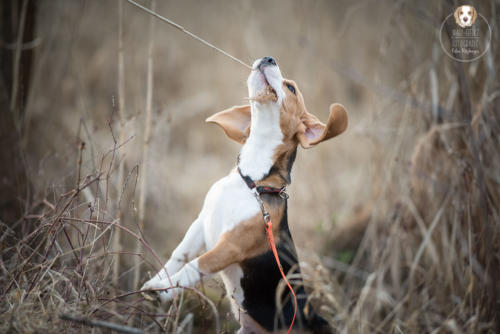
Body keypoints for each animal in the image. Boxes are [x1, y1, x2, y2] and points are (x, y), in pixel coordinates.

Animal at [142, 57, 348, 334]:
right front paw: (157, 282)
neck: (251, 182)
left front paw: (163, 292)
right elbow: (178, 255)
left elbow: (192, 267)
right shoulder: (200, 224)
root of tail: (309, 318)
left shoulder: (229, 246)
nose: (269, 58)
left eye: (291, 88)